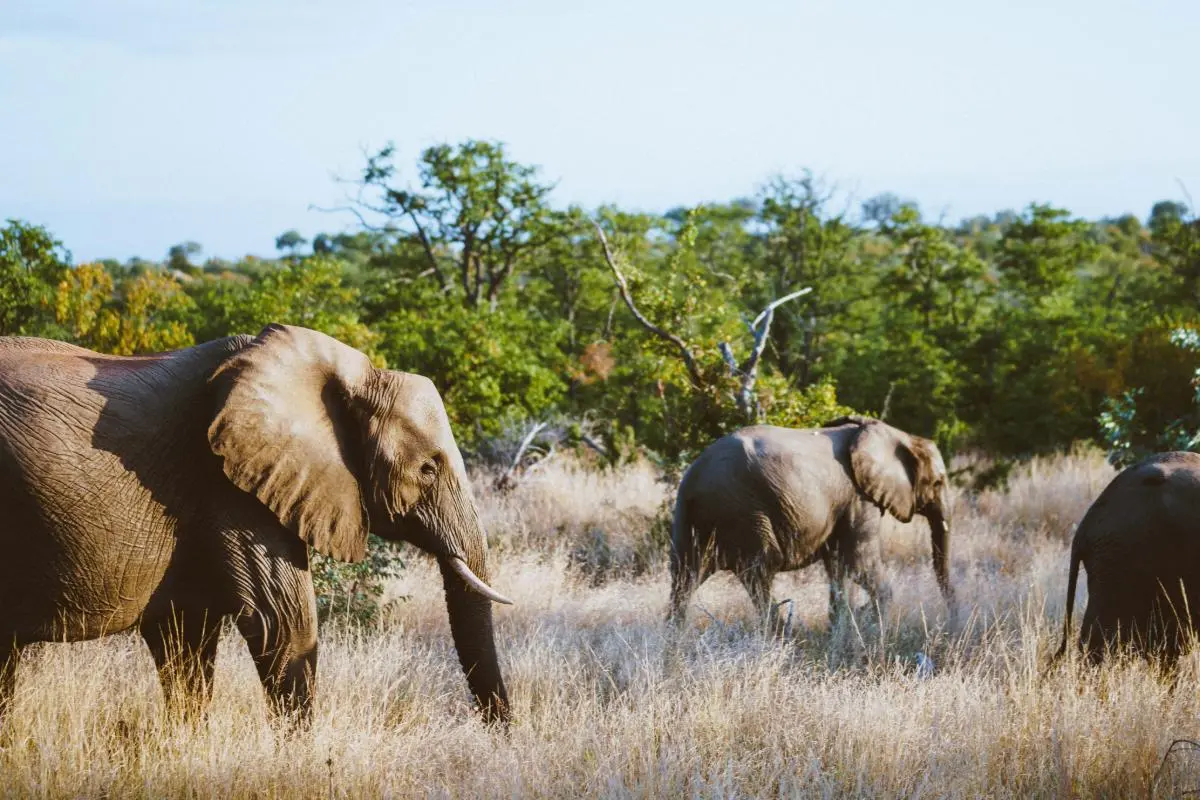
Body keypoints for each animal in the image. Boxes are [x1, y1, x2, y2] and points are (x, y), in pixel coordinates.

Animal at [0, 323, 511, 726]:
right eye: (427, 469)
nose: (502, 732)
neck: (351, 375)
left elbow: (186, 640)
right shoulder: (229, 485)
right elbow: (286, 623)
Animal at [668, 415, 954, 633]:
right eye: (938, 482)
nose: (952, 614)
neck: (896, 434)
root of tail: (695, 476)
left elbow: (837, 564)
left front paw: (843, 626)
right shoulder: (858, 499)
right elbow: (857, 561)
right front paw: (866, 622)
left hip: (689, 516)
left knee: (685, 576)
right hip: (744, 511)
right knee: (759, 572)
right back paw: (780, 639)